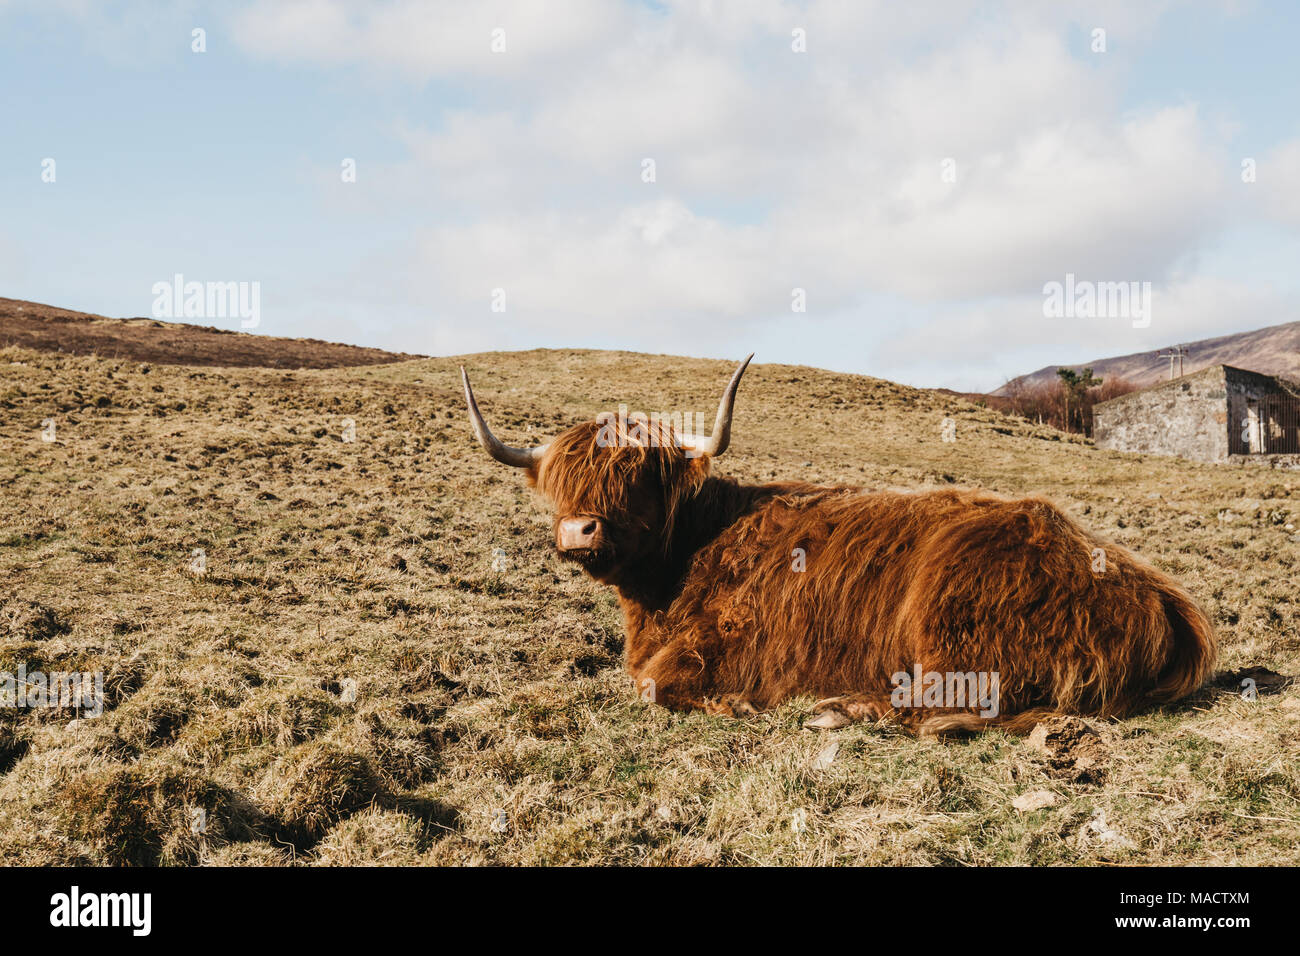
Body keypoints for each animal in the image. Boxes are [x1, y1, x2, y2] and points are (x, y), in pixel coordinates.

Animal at [459, 356, 1217, 735]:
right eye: (562, 486)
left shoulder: (729, 645)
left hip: (948, 618)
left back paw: (844, 710)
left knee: (951, 710)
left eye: (638, 477)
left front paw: (737, 705)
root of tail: (1164, 598)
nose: (578, 530)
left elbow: (653, 687)